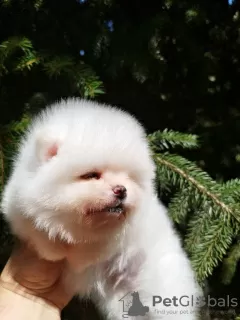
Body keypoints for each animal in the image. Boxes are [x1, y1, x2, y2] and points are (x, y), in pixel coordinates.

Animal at [0, 99, 202, 318]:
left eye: (129, 177)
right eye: (91, 175)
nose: (121, 190)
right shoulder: (19, 207)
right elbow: (39, 230)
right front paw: (53, 248)